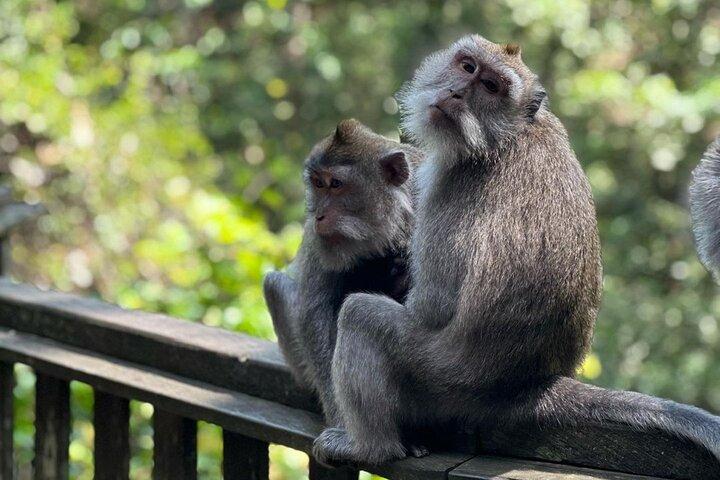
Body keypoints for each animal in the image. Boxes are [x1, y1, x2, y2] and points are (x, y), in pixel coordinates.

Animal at [263, 119, 423, 429]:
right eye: (317, 183)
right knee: (274, 284)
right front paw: (342, 422)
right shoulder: (318, 243)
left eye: (336, 184)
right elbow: (314, 313)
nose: (318, 216)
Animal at [312, 35, 720, 468]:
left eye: (492, 87)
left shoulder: (448, 182)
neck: (509, 133)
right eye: (468, 67)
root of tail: (527, 388)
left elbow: (432, 307)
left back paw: (370, 447)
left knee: (361, 316)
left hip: (441, 380)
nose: (456, 94)